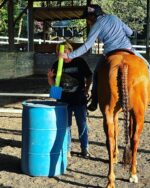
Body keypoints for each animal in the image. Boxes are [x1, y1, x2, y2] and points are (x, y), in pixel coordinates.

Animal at [97, 50, 150, 188]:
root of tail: (123, 63)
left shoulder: (115, 114)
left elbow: (117, 132)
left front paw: (116, 156)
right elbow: (130, 133)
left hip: (109, 112)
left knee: (110, 139)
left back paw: (111, 180)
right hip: (139, 113)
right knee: (135, 139)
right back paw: (133, 174)